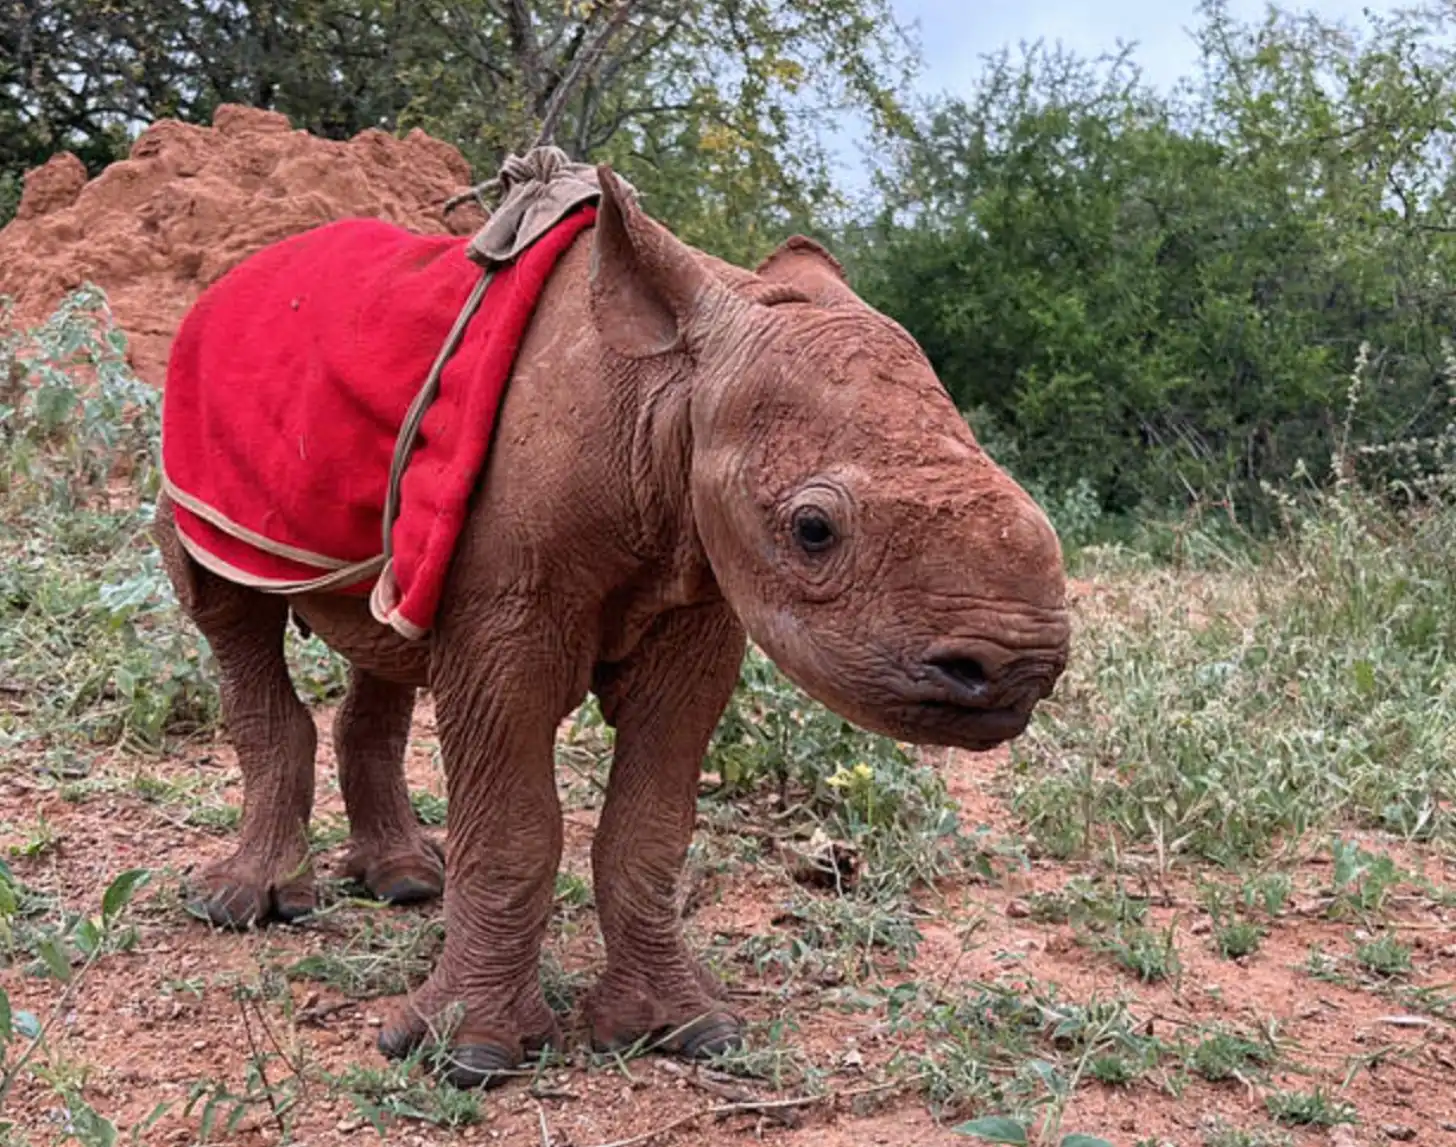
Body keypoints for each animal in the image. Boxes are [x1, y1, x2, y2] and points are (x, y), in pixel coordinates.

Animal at [152, 166, 1070, 1087]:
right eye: (814, 530)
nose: (1017, 667)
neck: (670, 394)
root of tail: (228, 281)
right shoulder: (506, 616)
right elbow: (515, 824)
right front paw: (466, 1055)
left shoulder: (699, 596)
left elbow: (651, 829)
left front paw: (685, 1029)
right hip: (201, 434)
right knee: (229, 610)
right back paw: (241, 907)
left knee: (381, 629)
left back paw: (409, 882)